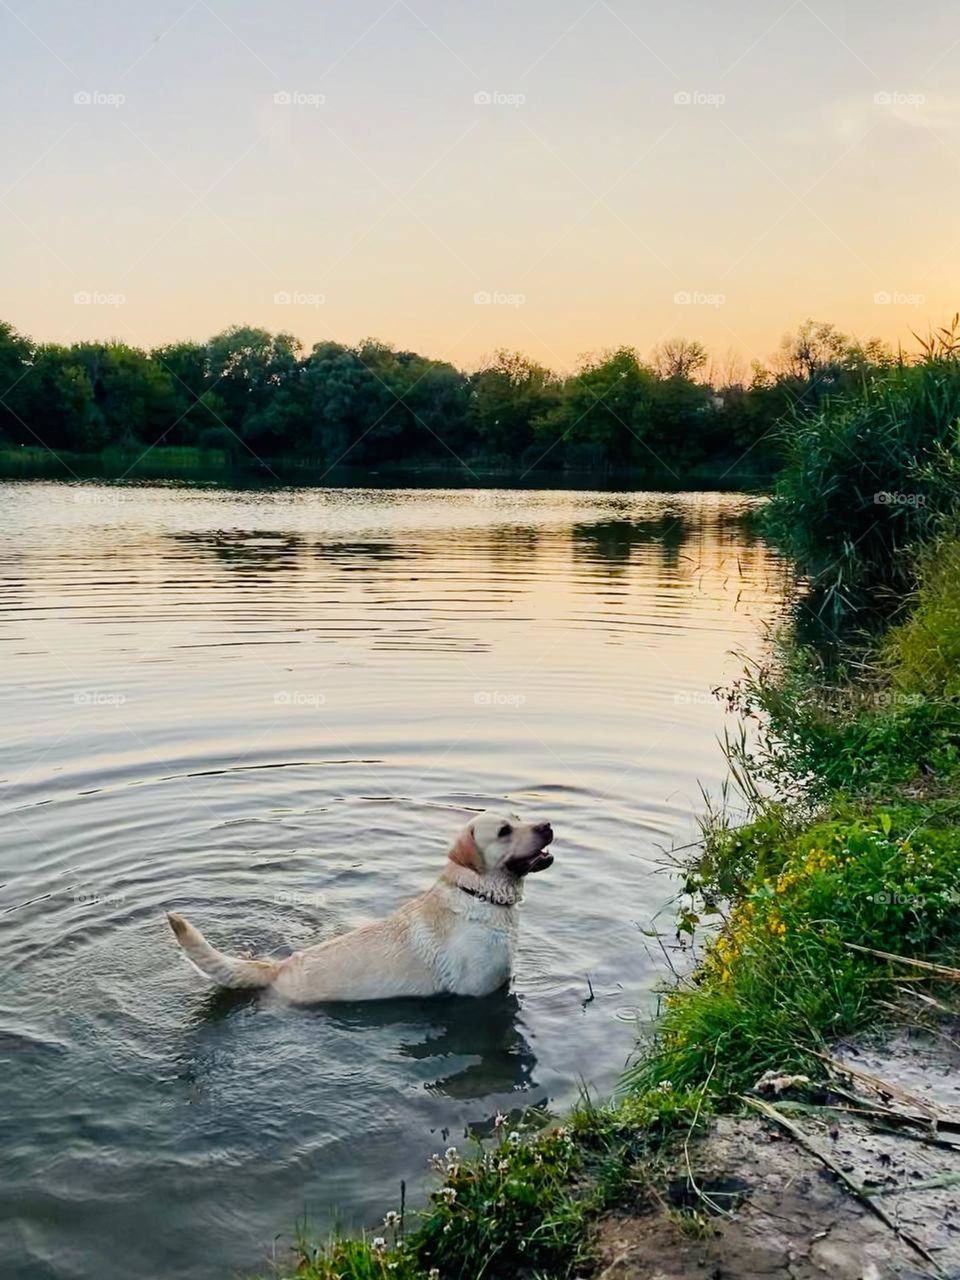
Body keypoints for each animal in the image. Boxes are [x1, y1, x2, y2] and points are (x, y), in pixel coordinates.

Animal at [168, 814, 552, 1003]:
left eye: (518, 820)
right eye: (504, 831)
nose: (548, 825)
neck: (477, 893)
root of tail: (278, 968)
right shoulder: (479, 993)